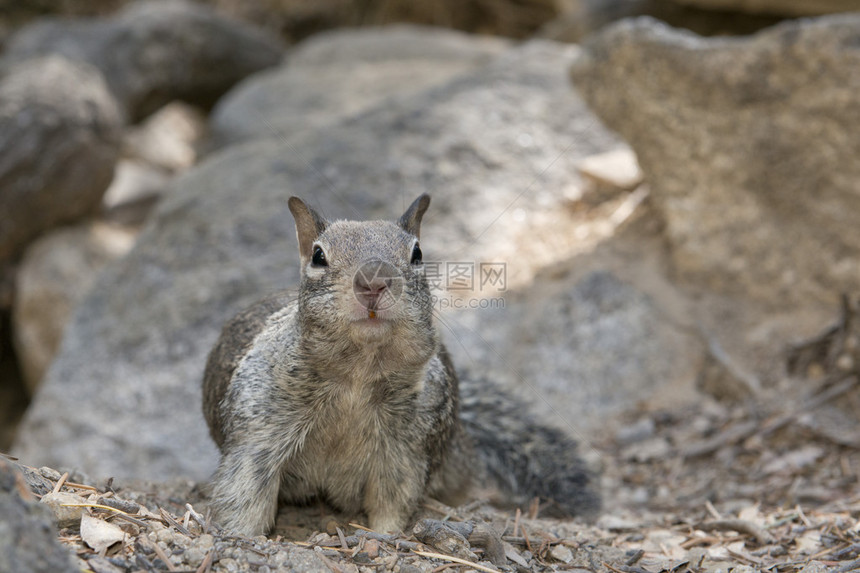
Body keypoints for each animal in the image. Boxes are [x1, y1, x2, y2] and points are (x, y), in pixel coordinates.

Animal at [202, 194, 600, 536]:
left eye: (418, 253)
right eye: (318, 255)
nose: (373, 281)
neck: (358, 373)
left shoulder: (407, 452)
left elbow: (392, 502)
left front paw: (385, 536)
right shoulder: (257, 435)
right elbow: (245, 496)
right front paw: (241, 535)